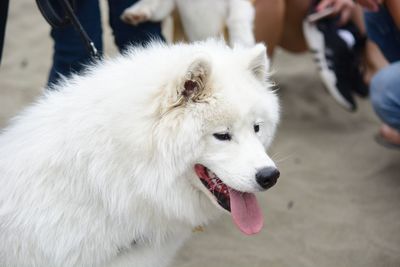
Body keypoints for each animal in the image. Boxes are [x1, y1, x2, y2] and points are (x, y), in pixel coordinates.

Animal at [120, 0, 255, 46]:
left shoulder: (240, 4)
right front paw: (136, 12)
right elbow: (151, 3)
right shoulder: (167, 5)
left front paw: (241, 41)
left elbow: (237, 19)